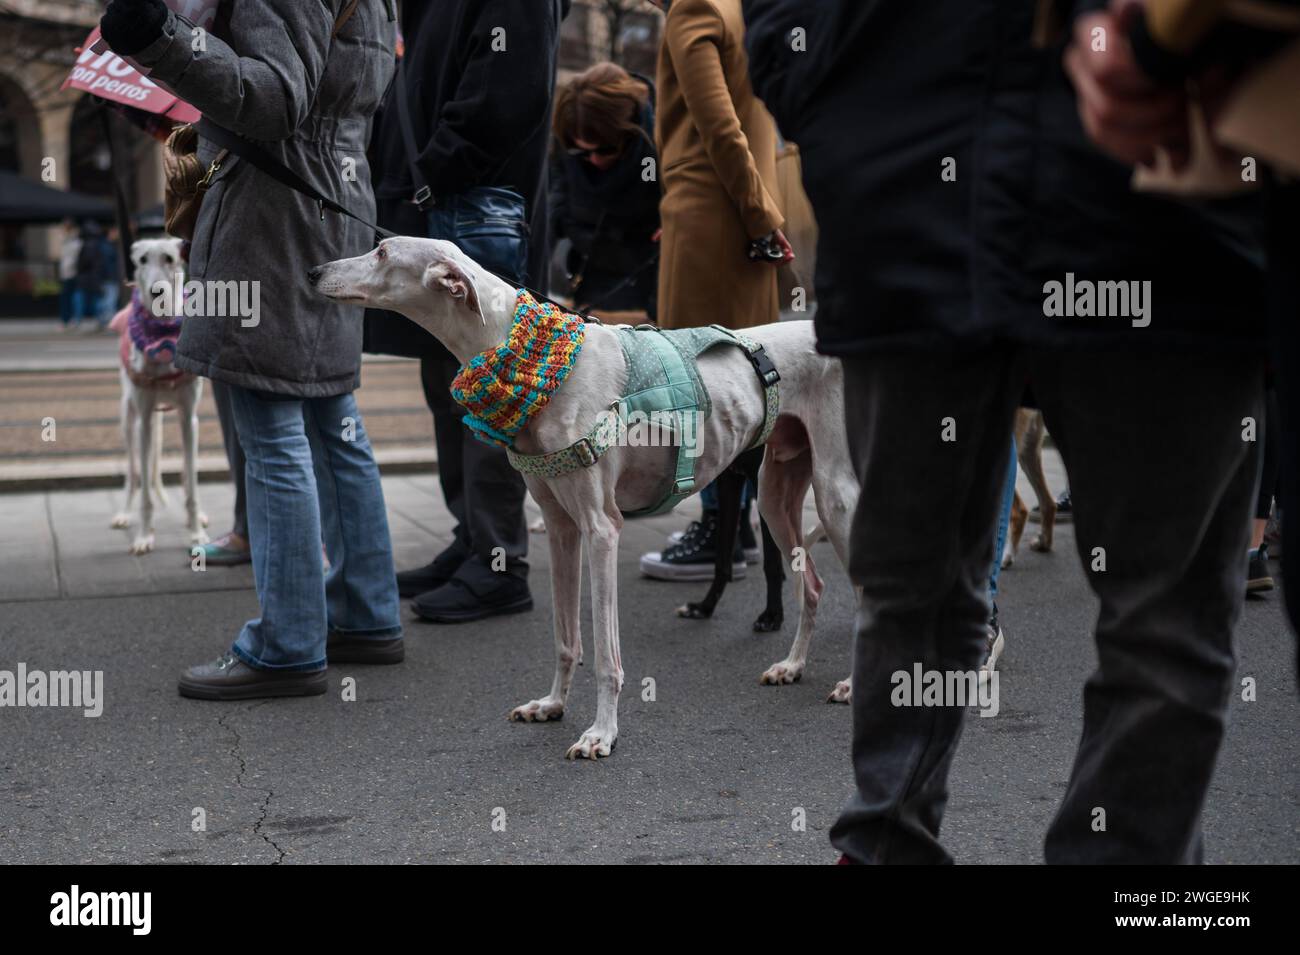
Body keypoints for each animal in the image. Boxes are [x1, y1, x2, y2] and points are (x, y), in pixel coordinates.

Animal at [109, 235, 206, 556]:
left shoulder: (189, 418)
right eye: (141, 260)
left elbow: (192, 481)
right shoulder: (144, 420)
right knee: (133, 473)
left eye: (169, 258)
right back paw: (124, 513)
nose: (156, 292)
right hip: (129, 420)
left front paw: (197, 533)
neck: (162, 335)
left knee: (185, 475)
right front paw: (143, 537)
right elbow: (145, 492)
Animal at [313, 239, 857, 764]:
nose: (314, 273)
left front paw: (601, 734)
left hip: (836, 498)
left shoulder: (602, 528)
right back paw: (792, 665)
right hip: (774, 495)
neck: (535, 362)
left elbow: (604, 655)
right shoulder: (560, 526)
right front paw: (552, 705)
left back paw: (850, 684)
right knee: (813, 584)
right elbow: (565, 636)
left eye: (382, 252)